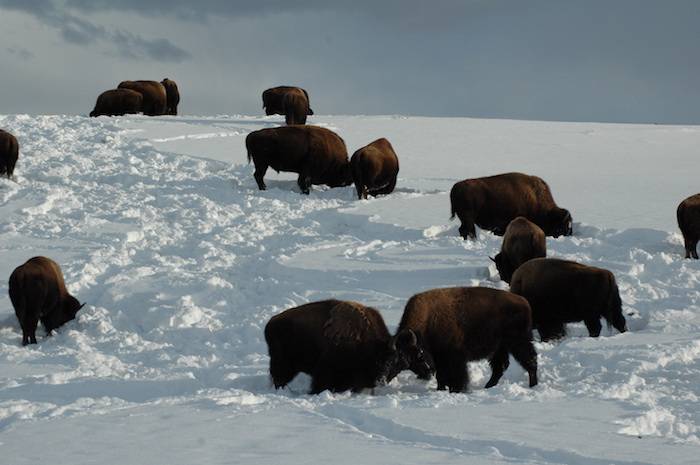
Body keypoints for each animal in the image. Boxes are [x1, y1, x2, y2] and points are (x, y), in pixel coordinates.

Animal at [264, 299, 394, 393]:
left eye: (390, 361)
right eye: (378, 360)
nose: (381, 380)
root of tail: (271, 323)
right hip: (283, 363)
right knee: (279, 377)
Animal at [385, 287, 538, 393]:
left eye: (417, 354)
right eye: (396, 358)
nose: (427, 373)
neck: (427, 322)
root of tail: (524, 302)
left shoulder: (454, 358)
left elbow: (457, 376)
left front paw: (456, 390)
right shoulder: (440, 360)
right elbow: (441, 377)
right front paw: (441, 389)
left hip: (518, 343)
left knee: (530, 361)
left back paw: (533, 385)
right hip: (499, 348)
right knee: (500, 367)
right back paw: (488, 387)